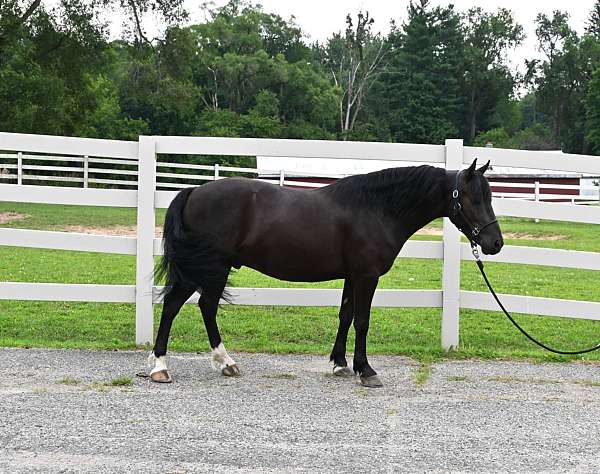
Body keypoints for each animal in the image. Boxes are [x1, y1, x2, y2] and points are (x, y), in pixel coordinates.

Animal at [149, 157, 502, 386]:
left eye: (490, 196)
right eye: (473, 198)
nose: (495, 242)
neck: (376, 209)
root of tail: (194, 192)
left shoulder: (352, 276)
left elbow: (345, 316)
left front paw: (341, 364)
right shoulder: (366, 276)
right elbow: (362, 321)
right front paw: (366, 370)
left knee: (194, 306)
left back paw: (218, 364)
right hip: (210, 268)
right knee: (184, 306)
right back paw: (165, 367)